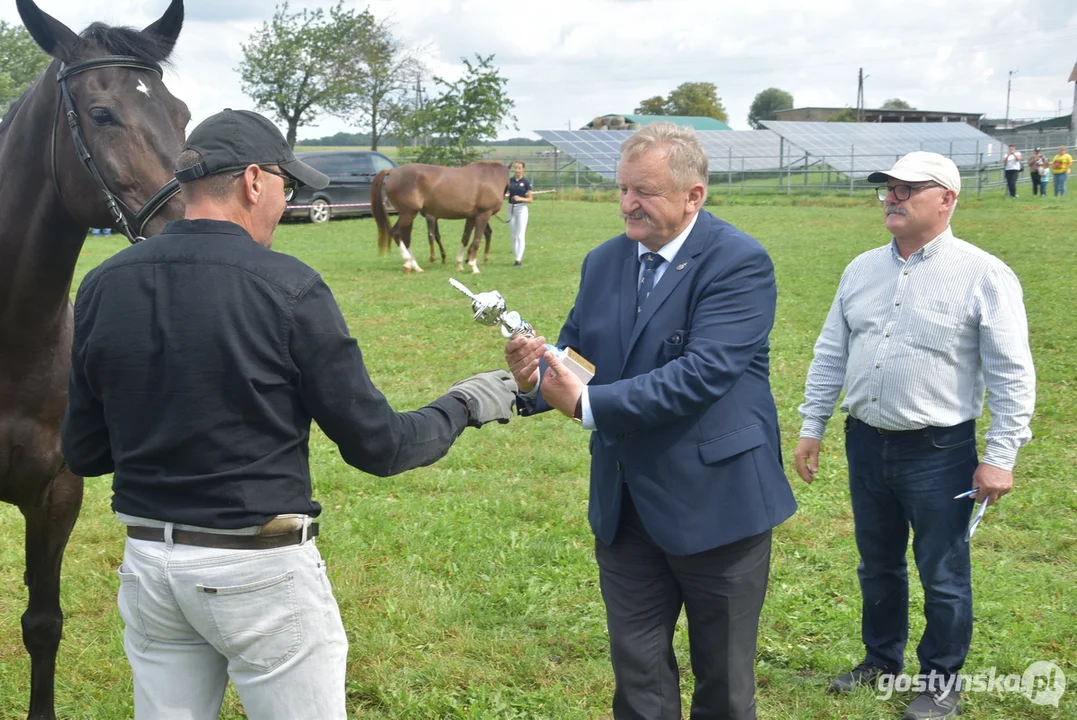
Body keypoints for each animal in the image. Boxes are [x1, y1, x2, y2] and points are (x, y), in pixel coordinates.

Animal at [370, 160, 508, 272]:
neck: (491, 176)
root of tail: (393, 171)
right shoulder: (483, 215)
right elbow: (476, 240)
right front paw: (473, 266)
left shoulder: (471, 217)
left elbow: (465, 238)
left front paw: (460, 264)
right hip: (408, 214)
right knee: (395, 232)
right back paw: (408, 262)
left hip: (408, 215)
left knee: (406, 237)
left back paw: (415, 267)